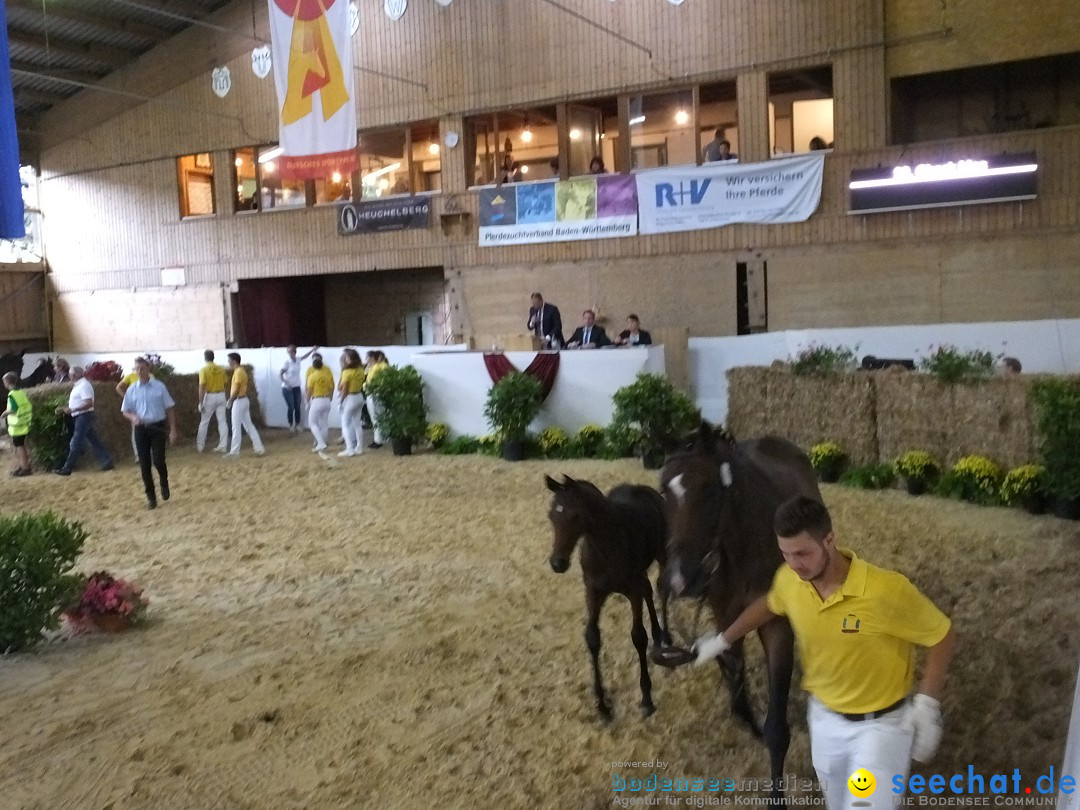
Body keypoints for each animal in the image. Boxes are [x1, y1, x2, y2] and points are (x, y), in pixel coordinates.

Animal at [548, 475, 665, 721]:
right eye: (551, 515)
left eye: (575, 515)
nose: (557, 563)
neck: (605, 546)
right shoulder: (594, 592)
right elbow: (592, 638)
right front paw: (602, 705)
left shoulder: (632, 591)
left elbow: (638, 636)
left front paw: (647, 698)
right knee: (649, 590)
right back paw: (658, 633)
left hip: (661, 556)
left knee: (661, 589)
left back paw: (664, 635)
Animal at [656, 425, 816, 807]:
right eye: (663, 491)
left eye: (710, 489)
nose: (679, 580)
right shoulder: (726, 617)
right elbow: (734, 676)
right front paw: (746, 718)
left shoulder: (776, 627)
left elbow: (777, 730)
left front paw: (776, 797)